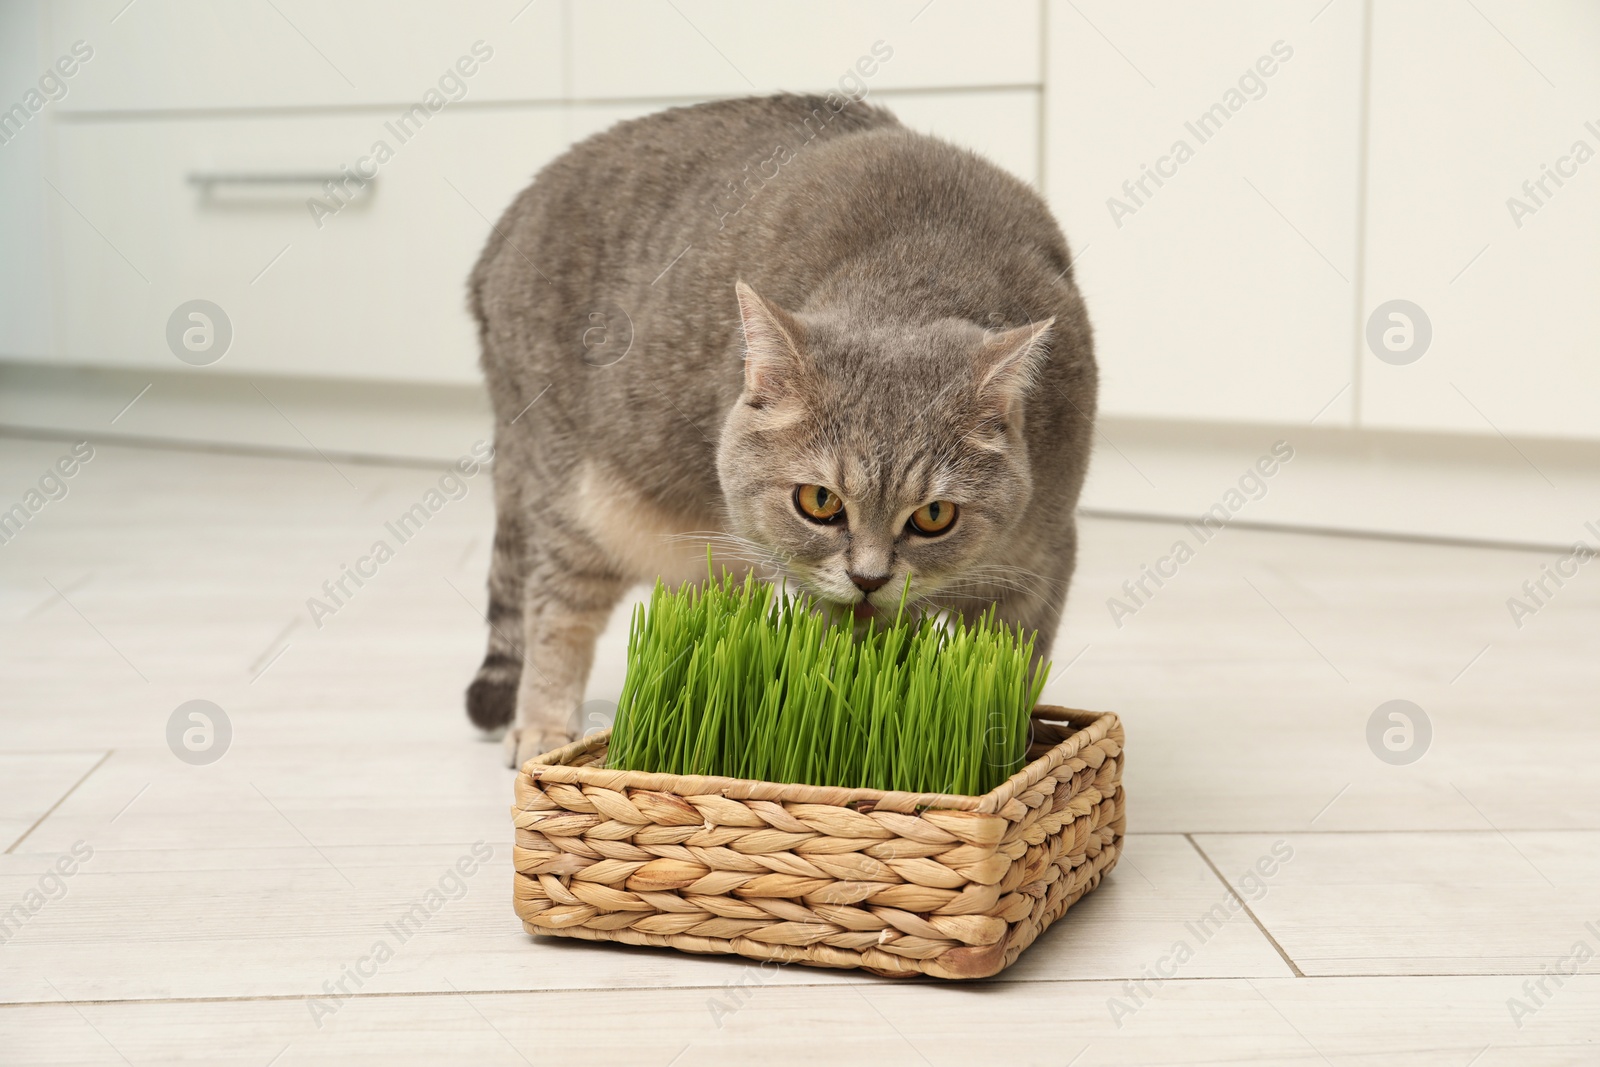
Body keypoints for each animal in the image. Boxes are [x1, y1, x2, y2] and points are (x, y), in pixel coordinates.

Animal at [464, 91, 1100, 767]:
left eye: (934, 516)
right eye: (819, 502)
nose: (869, 579)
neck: (921, 274)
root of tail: (504, 229)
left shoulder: (1041, 563)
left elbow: (1014, 669)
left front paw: (1011, 749)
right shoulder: (819, 595)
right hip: (578, 497)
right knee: (555, 608)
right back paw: (541, 729)